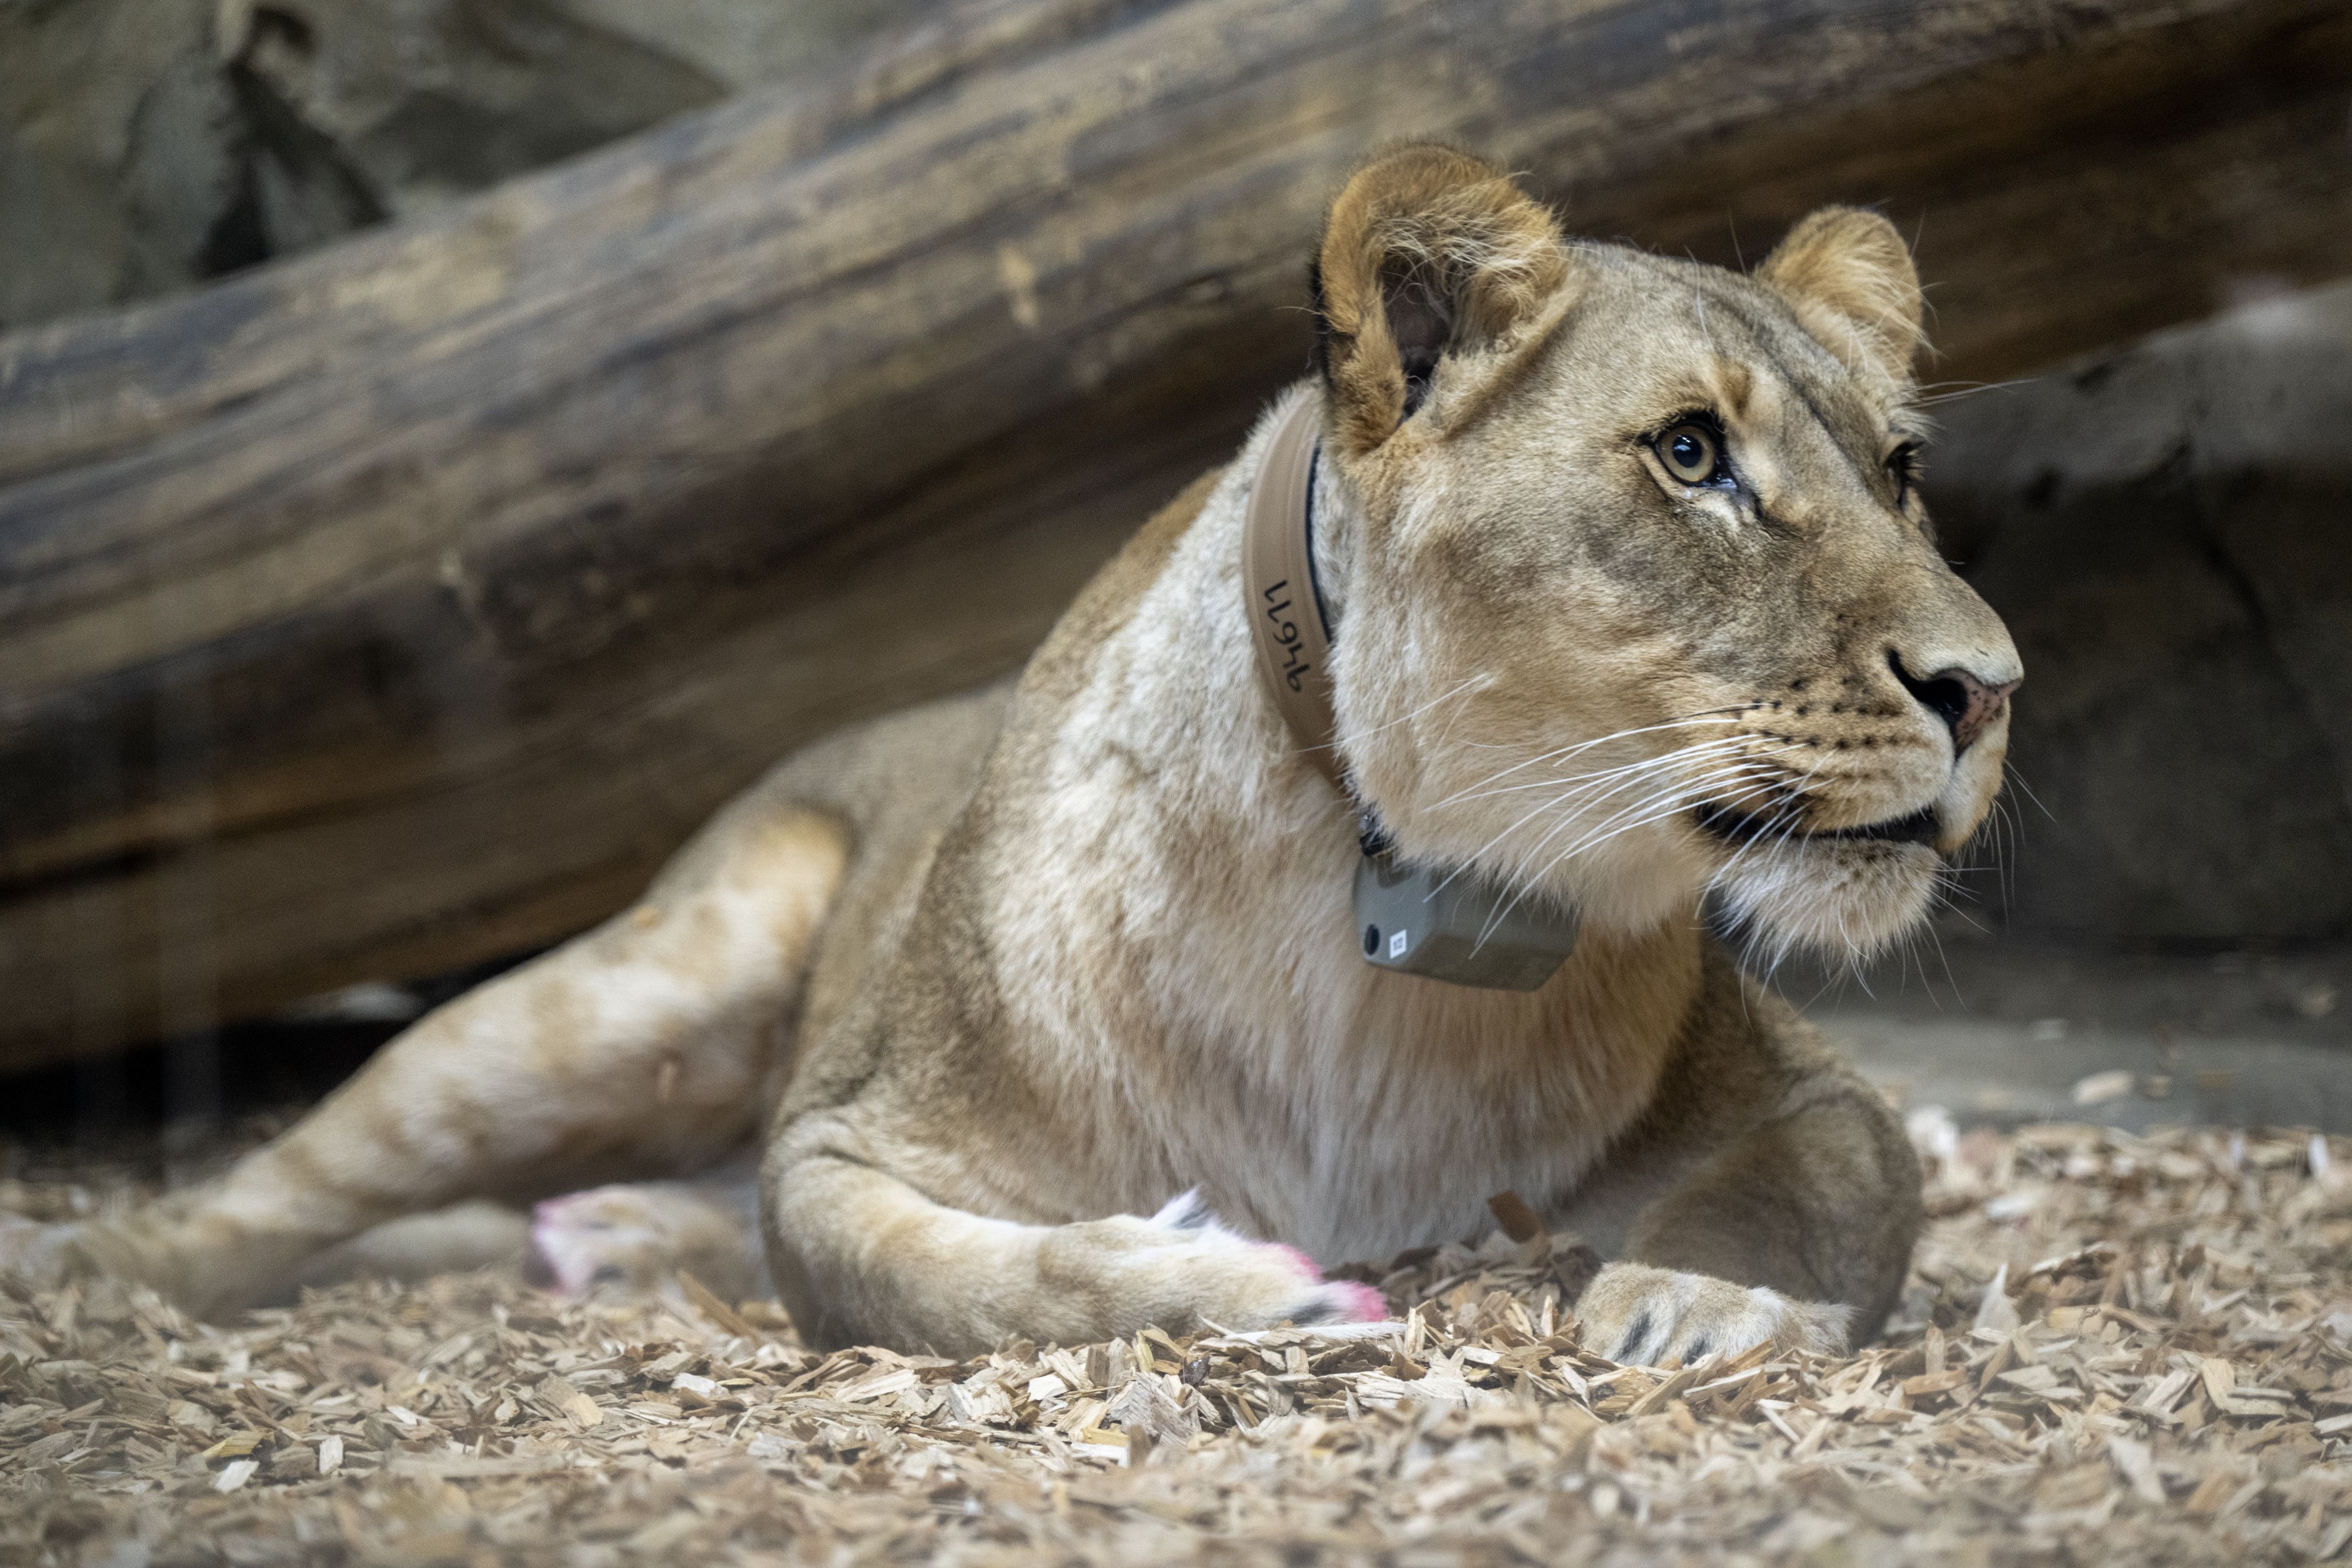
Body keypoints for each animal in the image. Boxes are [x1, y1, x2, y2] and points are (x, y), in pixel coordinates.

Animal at [3, 145, 2019, 1364]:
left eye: (1898, 467)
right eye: (1689, 455)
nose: (1989, 685)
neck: (1388, 927)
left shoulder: (1804, 1084)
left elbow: (1850, 1172)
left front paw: (1693, 1301)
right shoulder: (849, 1138)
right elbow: (955, 1273)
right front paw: (1219, 1272)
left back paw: (610, 1239)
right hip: (647, 976)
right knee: (299, 1181)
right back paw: (88, 1273)